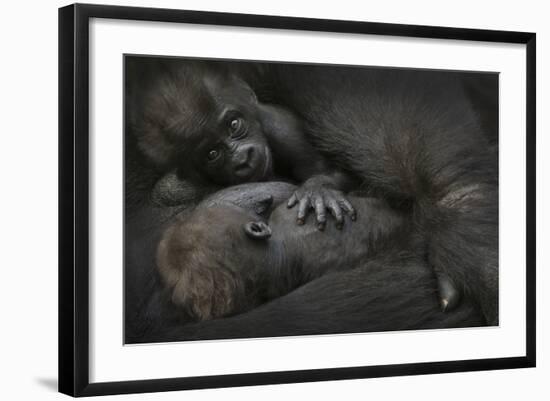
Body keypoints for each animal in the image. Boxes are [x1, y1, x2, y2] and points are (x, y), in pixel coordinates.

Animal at [134, 61, 358, 231]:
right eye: (212, 153)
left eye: (234, 125)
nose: (243, 158)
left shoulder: (281, 127)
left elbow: (326, 171)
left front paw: (318, 190)